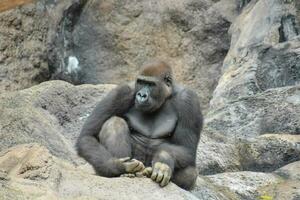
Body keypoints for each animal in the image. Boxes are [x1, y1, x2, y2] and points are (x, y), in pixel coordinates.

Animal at [77, 60, 204, 190]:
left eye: (151, 84)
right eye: (141, 82)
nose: (141, 95)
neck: (166, 96)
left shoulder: (189, 100)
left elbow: (186, 148)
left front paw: (163, 161)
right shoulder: (122, 92)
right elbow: (87, 136)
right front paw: (117, 165)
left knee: (190, 174)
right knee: (114, 122)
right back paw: (125, 172)